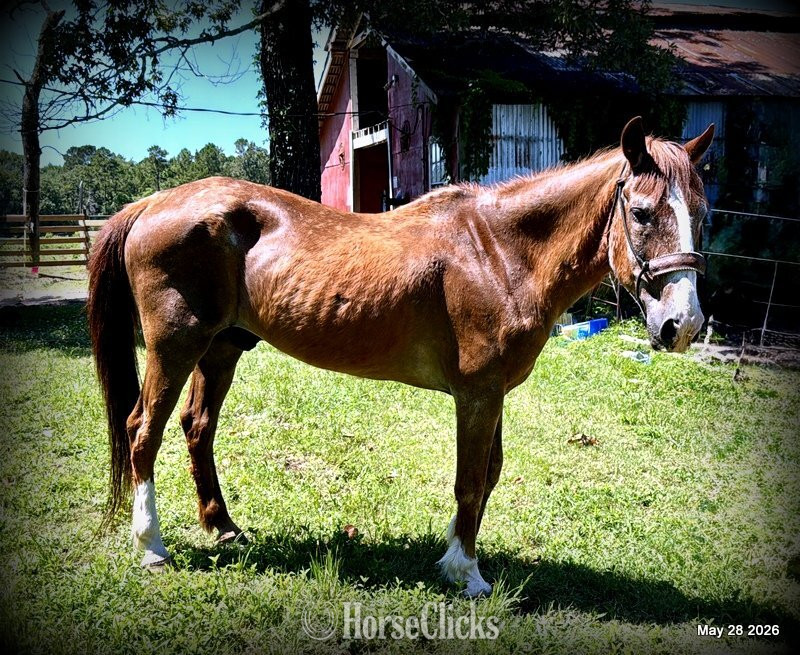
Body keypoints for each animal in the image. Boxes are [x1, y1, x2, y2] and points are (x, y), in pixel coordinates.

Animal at [88, 116, 713, 597]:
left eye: (701, 212)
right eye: (641, 212)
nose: (682, 325)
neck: (500, 253)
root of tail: (152, 202)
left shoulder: (492, 394)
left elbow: (488, 475)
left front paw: (451, 555)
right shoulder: (477, 395)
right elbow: (470, 479)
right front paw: (467, 574)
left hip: (220, 348)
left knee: (197, 427)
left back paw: (222, 528)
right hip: (174, 346)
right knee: (142, 430)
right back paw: (152, 547)